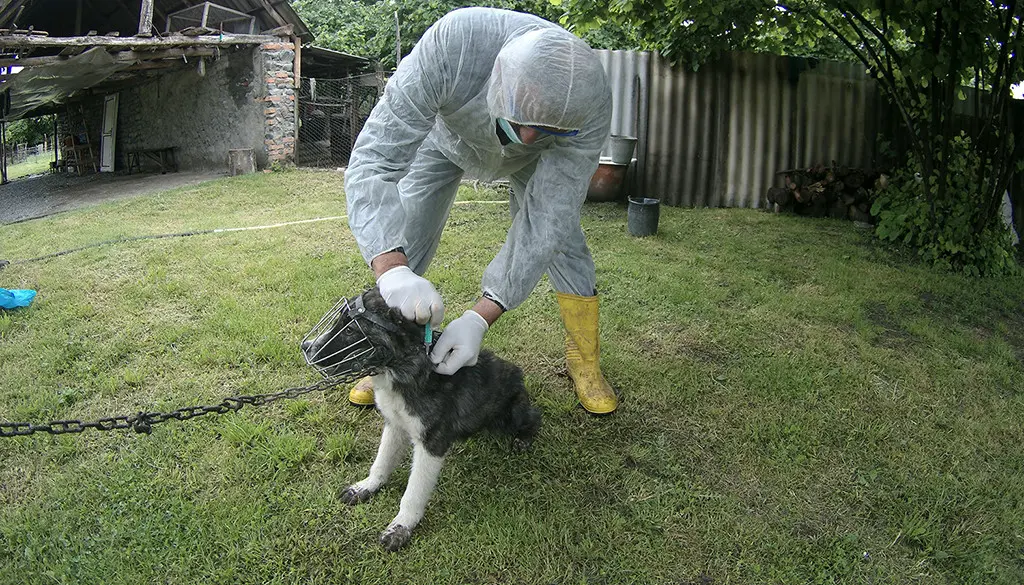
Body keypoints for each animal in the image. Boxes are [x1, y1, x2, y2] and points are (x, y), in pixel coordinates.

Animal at [301, 286, 544, 553]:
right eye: (339, 322)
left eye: (351, 330)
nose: (305, 346)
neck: (403, 369)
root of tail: (518, 376)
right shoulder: (394, 425)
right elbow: (381, 463)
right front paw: (365, 486)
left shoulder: (431, 444)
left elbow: (413, 492)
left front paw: (401, 527)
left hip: (512, 415)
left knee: (535, 417)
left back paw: (523, 438)